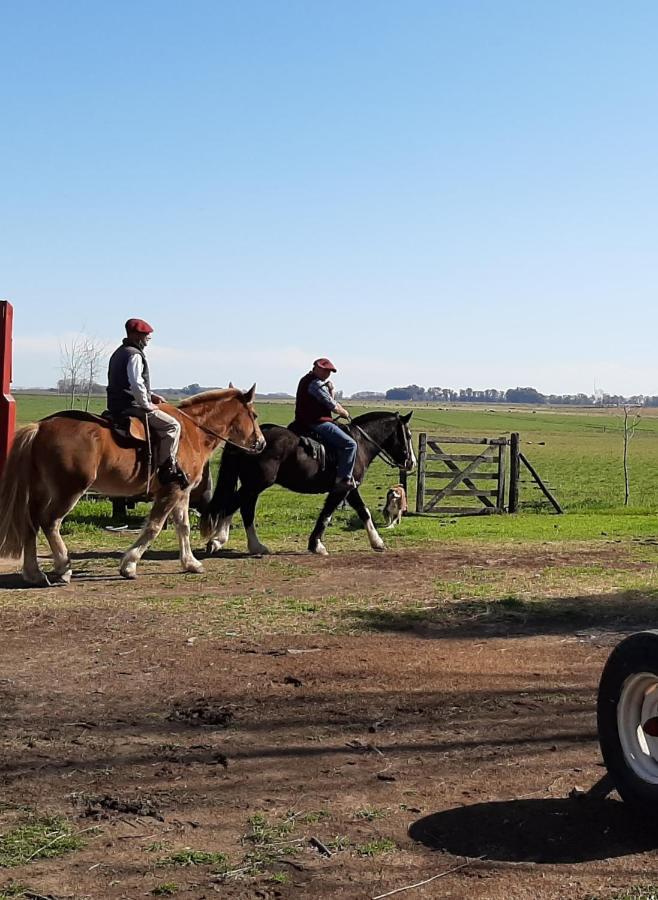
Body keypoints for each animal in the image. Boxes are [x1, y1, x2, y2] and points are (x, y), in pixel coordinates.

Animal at [0, 384, 264, 584]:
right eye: (254, 415)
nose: (261, 442)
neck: (192, 432)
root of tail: (41, 427)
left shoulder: (181, 493)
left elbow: (183, 526)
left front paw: (190, 563)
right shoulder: (171, 491)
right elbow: (154, 527)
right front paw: (129, 565)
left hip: (41, 491)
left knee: (31, 524)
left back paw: (34, 573)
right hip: (69, 491)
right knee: (50, 522)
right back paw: (63, 567)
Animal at [201, 414, 416, 556]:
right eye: (408, 435)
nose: (411, 462)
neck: (359, 443)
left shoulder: (350, 488)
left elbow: (364, 512)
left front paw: (377, 542)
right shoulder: (342, 488)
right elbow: (327, 514)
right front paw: (316, 545)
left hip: (253, 485)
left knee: (245, 509)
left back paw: (255, 546)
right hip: (256, 483)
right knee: (234, 504)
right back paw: (218, 540)